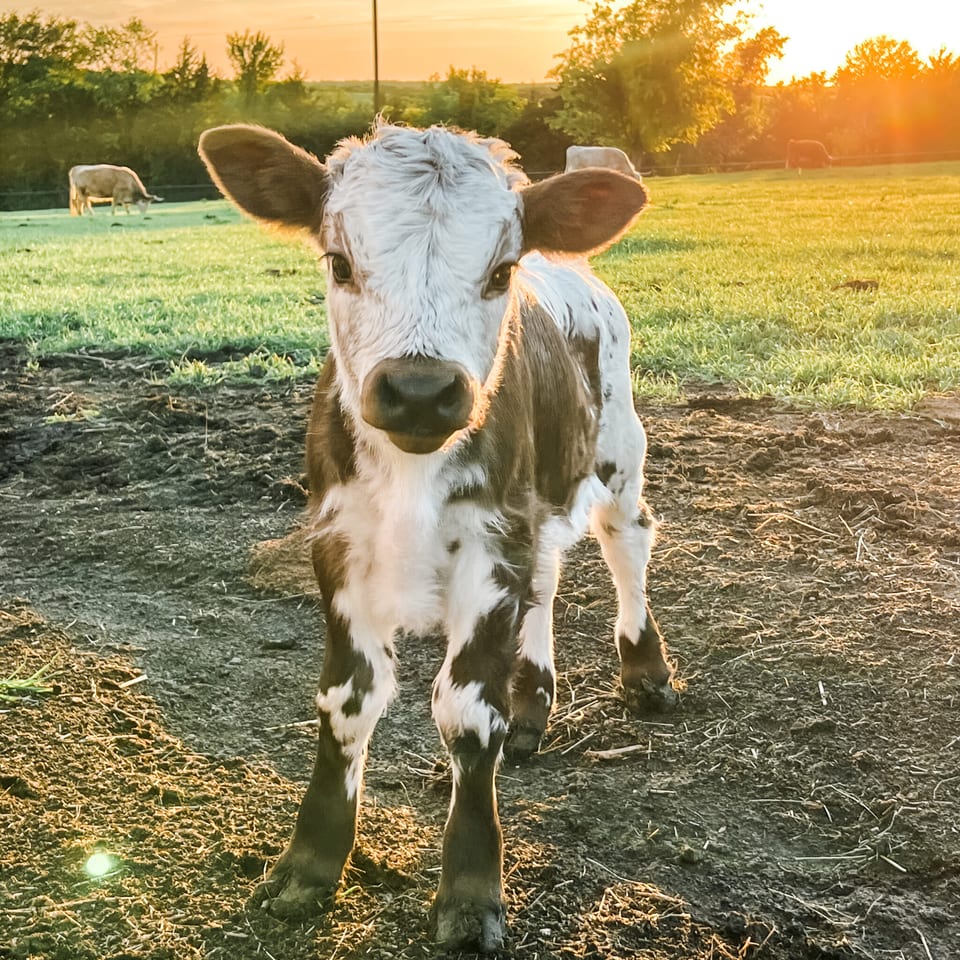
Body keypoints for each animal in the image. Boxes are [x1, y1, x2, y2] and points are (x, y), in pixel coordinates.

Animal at [198, 121, 676, 953]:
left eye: (499, 271)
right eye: (339, 261)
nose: (419, 390)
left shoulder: (490, 545)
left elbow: (467, 712)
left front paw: (471, 890)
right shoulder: (341, 541)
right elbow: (346, 699)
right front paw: (310, 862)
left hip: (617, 444)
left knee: (626, 540)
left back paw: (644, 669)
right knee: (548, 577)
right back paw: (533, 704)